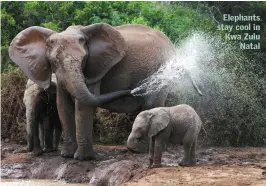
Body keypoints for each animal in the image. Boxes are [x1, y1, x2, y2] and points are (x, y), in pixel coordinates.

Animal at [8, 22, 202, 160]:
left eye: (84, 60)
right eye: (54, 62)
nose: (130, 90)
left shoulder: (94, 69)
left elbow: (83, 105)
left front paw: (83, 159)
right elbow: (63, 105)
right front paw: (66, 156)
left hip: (161, 71)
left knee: (151, 103)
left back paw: (139, 150)